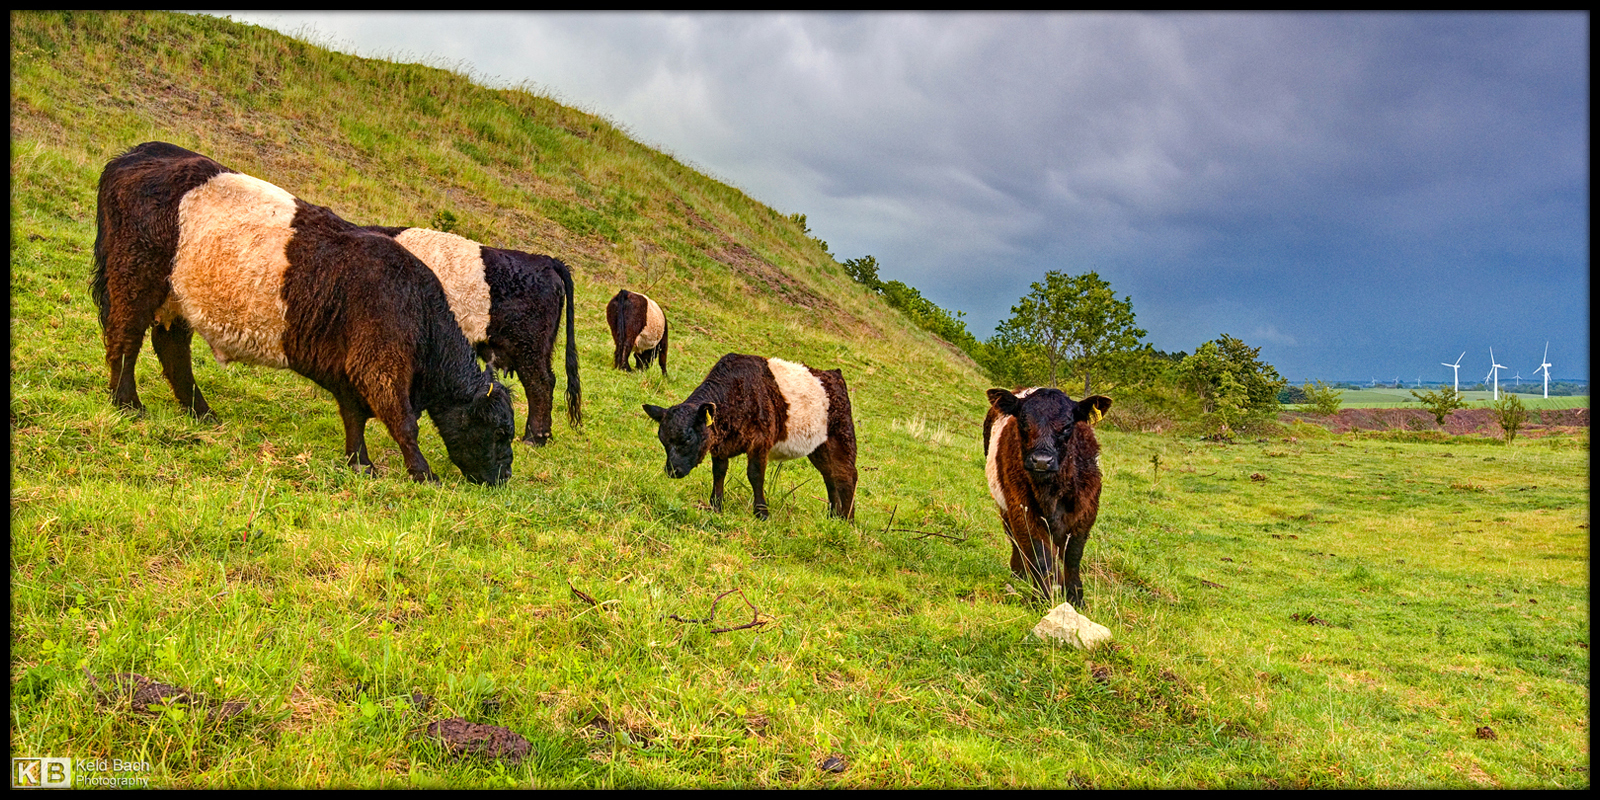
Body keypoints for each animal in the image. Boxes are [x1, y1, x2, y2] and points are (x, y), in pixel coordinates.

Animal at [91, 141, 515, 485]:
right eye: (499, 433)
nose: (504, 477)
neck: (416, 305)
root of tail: (136, 153)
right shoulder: (380, 365)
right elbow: (404, 422)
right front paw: (423, 474)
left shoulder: (350, 369)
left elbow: (354, 416)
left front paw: (360, 464)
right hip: (135, 280)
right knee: (125, 337)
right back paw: (128, 403)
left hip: (177, 297)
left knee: (172, 349)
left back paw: (201, 413)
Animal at [643, 353, 856, 520]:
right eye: (663, 440)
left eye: (687, 439)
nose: (673, 471)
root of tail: (834, 374)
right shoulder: (720, 446)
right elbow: (719, 472)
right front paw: (716, 505)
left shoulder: (760, 441)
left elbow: (755, 475)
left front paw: (761, 513)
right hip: (819, 447)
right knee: (830, 476)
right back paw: (834, 517)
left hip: (841, 438)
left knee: (847, 475)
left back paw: (846, 521)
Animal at [983, 387, 1112, 605]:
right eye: (1023, 422)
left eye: (1068, 426)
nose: (1042, 461)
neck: (1052, 493)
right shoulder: (1022, 509)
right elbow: (1041, 556)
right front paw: (1042, 598)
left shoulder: (1085, 513)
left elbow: (1073, 556)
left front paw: (1075, 598)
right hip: (1005, 505)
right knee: (1014, 539)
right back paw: (1019, 573)